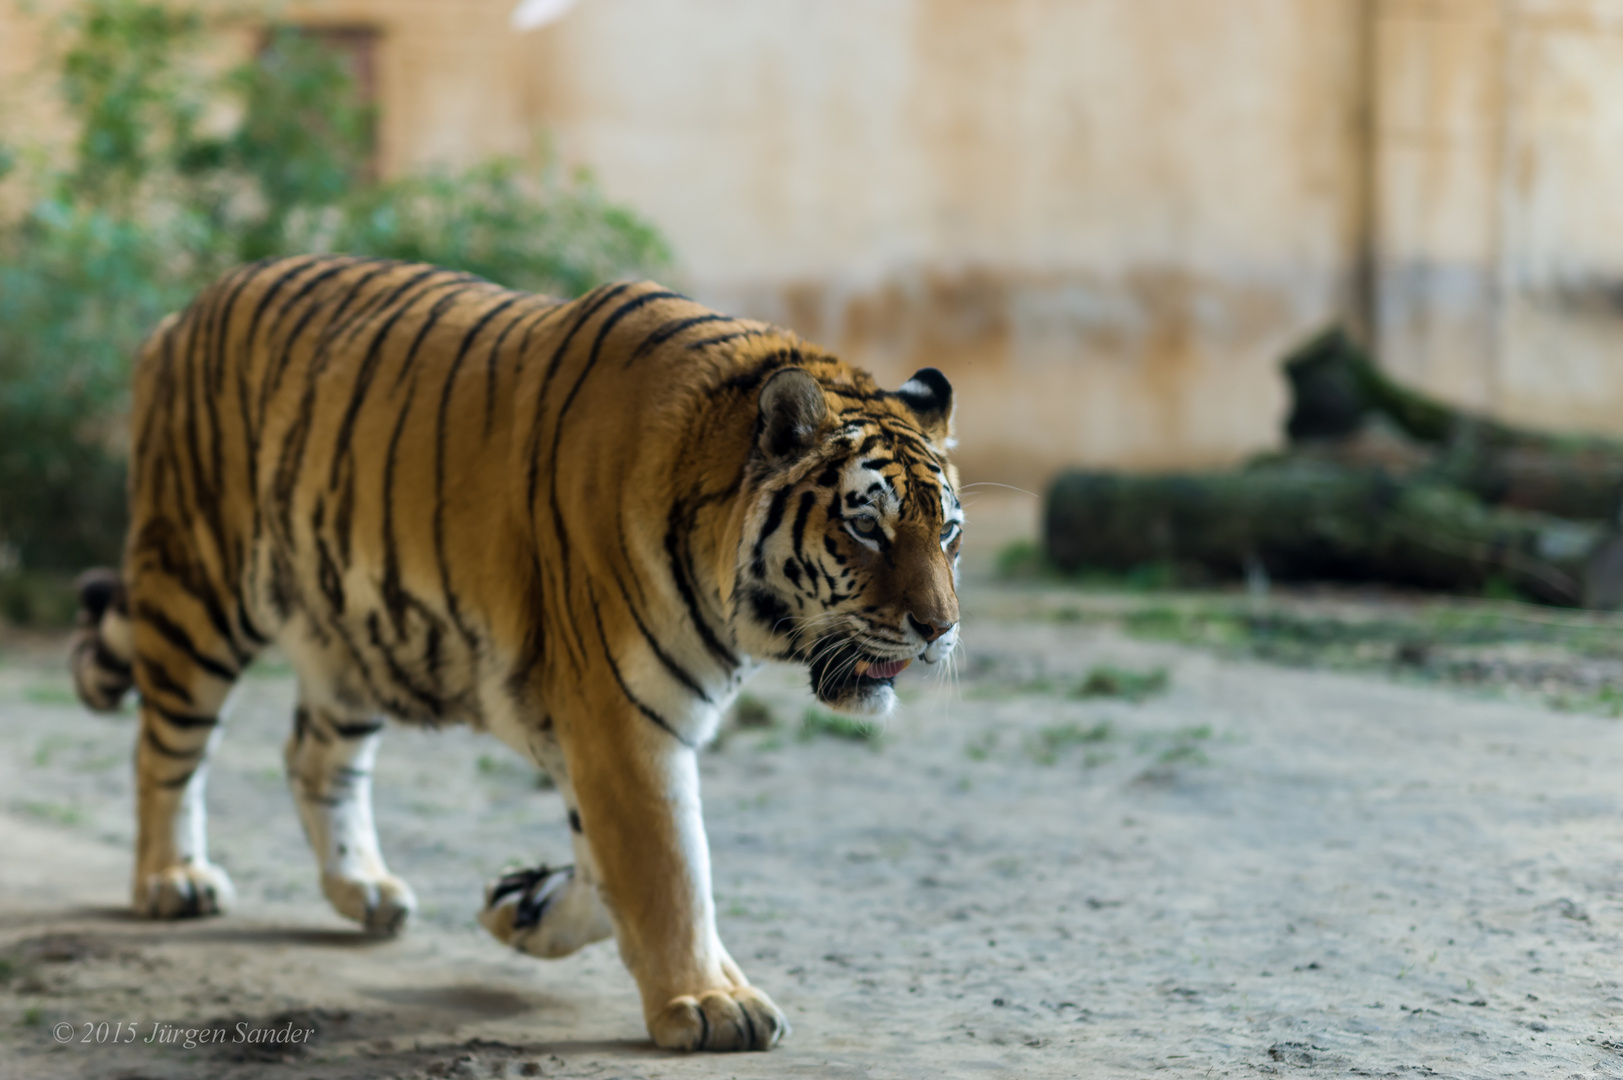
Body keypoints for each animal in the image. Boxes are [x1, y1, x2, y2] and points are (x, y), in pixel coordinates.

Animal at [69, 250, 960, 1045]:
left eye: (947, 530)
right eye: (864, 526)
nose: (940, 628)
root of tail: (183, 314)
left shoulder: (589, 724)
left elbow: (608, 861)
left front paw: (523, 908)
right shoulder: (620, 717)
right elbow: (670, 865)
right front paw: (709, 1004)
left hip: (353, 634)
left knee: (314, 758)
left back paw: (363, 889)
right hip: (198, 589)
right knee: (163, 749)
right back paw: (173, 880)